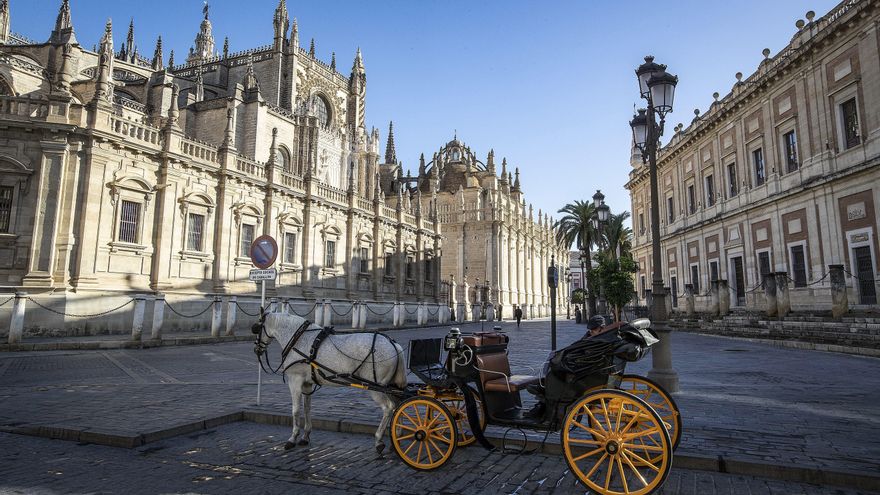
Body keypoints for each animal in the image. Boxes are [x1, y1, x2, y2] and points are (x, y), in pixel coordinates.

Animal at [253, 312, 408, 456]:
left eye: (257, 328)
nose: (256, 350)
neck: (299, 340)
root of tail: (393, 345)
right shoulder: (307, 384)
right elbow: (307, 408)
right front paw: (305, 436)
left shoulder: (295, 380)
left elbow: (295, 410)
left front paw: (292, 438)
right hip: (390, 387)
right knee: (399, 406)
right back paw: (397, 436)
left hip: (376, 388)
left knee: (388, 407)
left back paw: (379, 439)